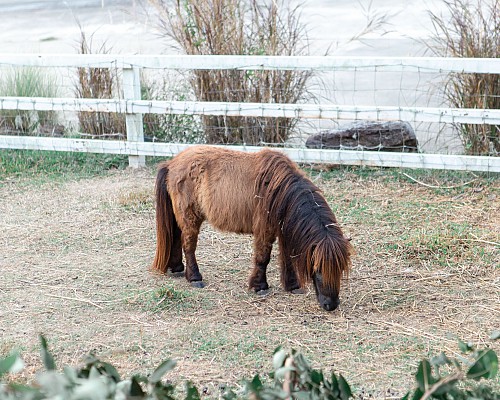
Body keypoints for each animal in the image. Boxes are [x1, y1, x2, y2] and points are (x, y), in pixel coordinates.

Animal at [151, 145, 352, 310]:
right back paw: (194, 278)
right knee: (188, 246)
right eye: (318, 268)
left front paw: (293, 286)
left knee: (176, 238)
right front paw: (259, 286)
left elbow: (287, 258)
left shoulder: (284, 232)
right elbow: (263, 258)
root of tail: (172, 163)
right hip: (190, 217)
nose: (331, 305)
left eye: (341, 269)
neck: (281, 191)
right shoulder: (265, 231)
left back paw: (176, 268)